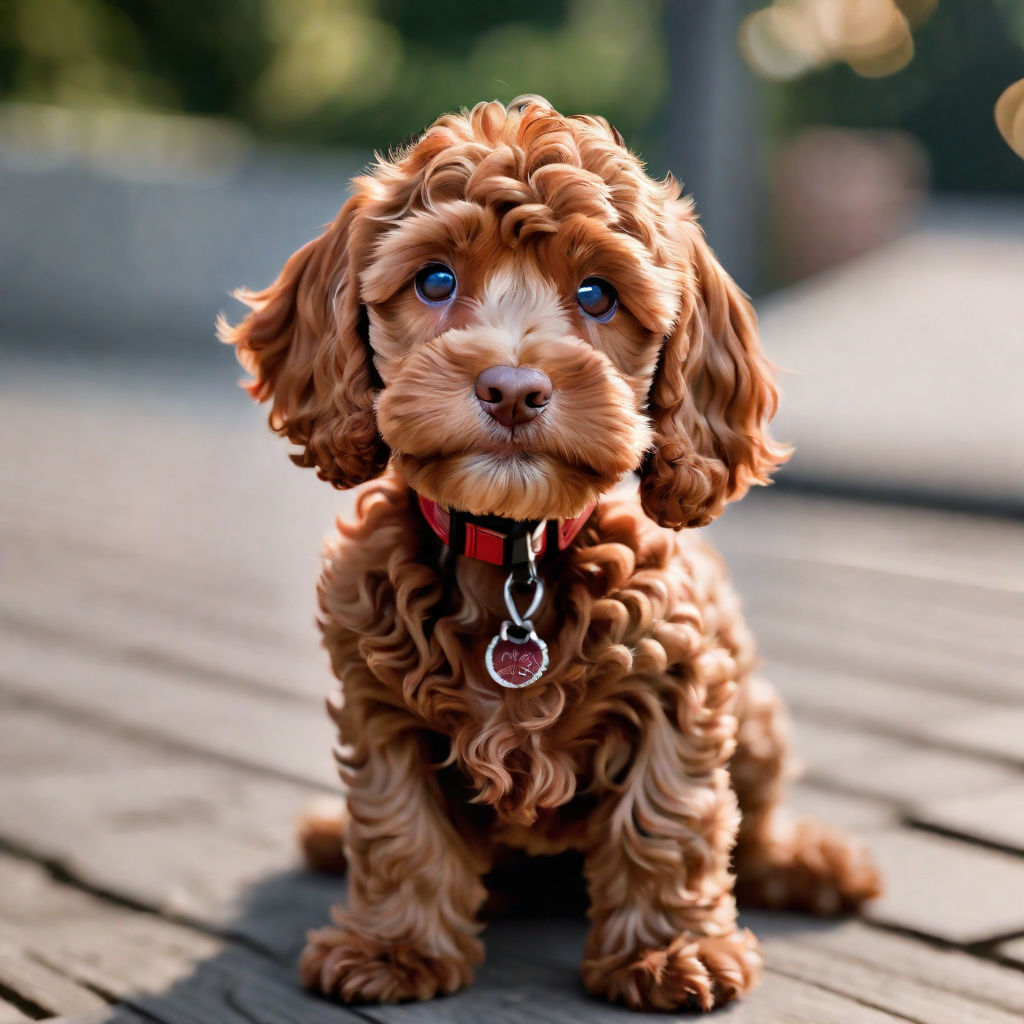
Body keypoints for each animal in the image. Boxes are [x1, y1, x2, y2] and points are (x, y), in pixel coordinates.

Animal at [220, 99, 884, 1011]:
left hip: (757, 715)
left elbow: (667, 820)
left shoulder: (680, 681)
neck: (514, 554)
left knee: (758, 822)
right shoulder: (377, 702)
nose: (511, 389)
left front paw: (667, 953)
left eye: (598, 294)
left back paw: (814, 861)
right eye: (435, 281)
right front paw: (394, 949)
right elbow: (398, 828)